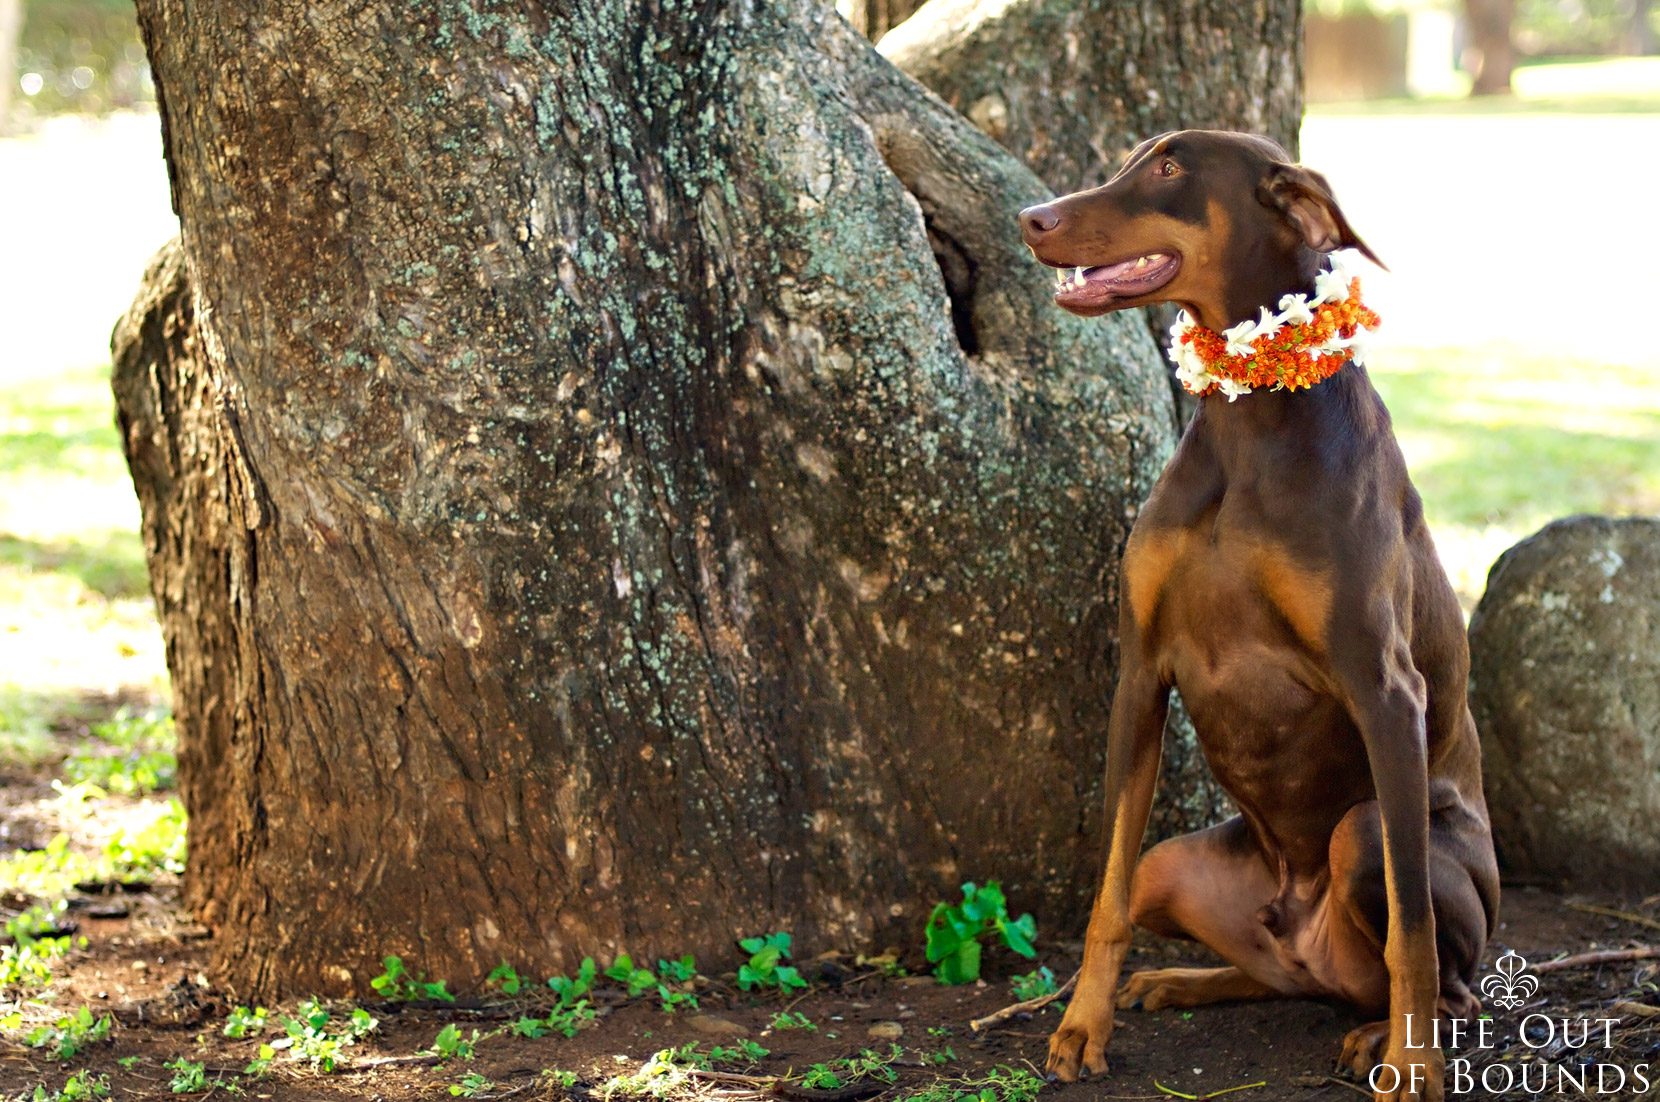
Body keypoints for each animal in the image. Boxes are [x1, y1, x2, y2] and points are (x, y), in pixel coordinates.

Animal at [1015, 133, 1500, 1102]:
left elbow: (1413, 933)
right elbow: (1107, 895)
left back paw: (1380, 1036)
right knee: (1270, 966)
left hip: (1365, 839)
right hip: (1184, 868)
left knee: (1439, 973)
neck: (1249, 419)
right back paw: (1179, 980)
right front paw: (1082, 1026)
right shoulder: (1140, 674)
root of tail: (1304, 935)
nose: (1031, 218)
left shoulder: (1385, 689)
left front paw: (1412, 1063)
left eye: (1170, 169)